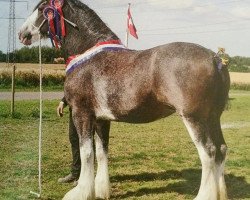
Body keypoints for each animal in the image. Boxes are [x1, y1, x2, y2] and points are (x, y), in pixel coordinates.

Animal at [19, 0, 230, 199]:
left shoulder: (81, 113)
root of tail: (215, 58)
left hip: (194, 118)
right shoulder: (101, 119)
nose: (22, 34)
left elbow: (86, 151)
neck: (87, 55)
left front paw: (81, 192)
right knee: (221, 149)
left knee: (209, 152)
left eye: (42, 8)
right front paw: (101, 190)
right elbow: (101, 151)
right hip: (213, 117)